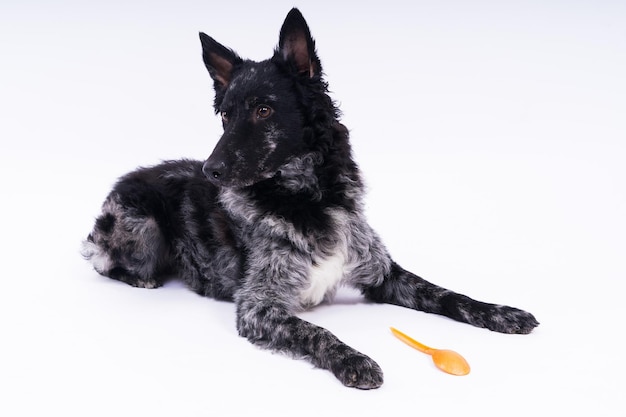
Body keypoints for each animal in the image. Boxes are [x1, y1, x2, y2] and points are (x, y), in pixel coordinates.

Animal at [79, 8, 536, 386]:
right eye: (226, 115)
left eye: (263, 110)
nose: (211, 170)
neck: (309, 199)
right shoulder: (259, 308)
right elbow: (315, 330)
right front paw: (353, 359)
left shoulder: (383, 275)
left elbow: (446, 294)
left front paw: (500, 312)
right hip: (143, 226)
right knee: (101, 260)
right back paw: (141, 277)